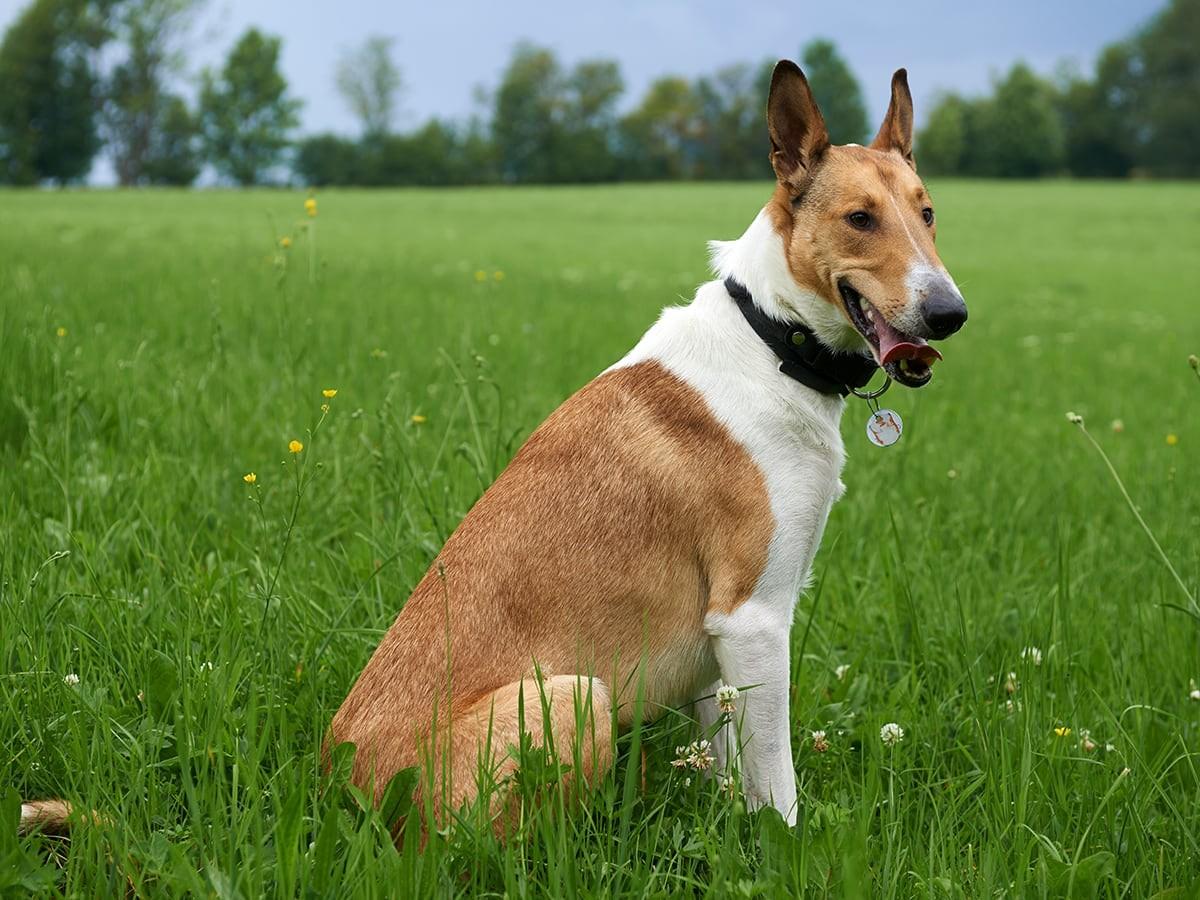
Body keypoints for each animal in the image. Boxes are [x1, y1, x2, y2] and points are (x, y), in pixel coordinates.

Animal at [23, 63, 969, 840]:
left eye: (928, 214)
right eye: (859, 219)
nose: (950, 313)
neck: (771, 338)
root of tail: (331, 797)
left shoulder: (723, 650)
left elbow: (732, 775)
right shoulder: (755, 618)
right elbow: (777, 789)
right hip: (575, 699)